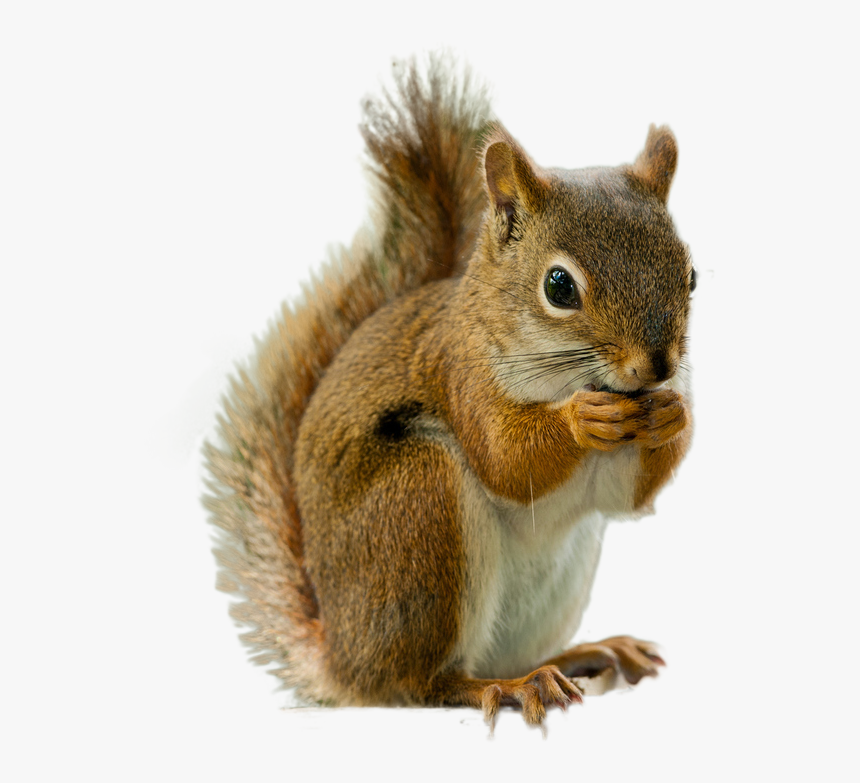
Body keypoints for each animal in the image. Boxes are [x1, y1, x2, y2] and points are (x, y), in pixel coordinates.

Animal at [204, 55, 694, 728]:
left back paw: (583, 655)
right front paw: (580, 420)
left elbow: (626, 496)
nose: (659, 366)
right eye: (559, 286)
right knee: (423, 684)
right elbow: (507, 459)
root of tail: (346, 660)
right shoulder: (460, 373)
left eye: (691, 275)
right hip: (419, 509)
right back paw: (507, 687)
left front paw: (675, 416)